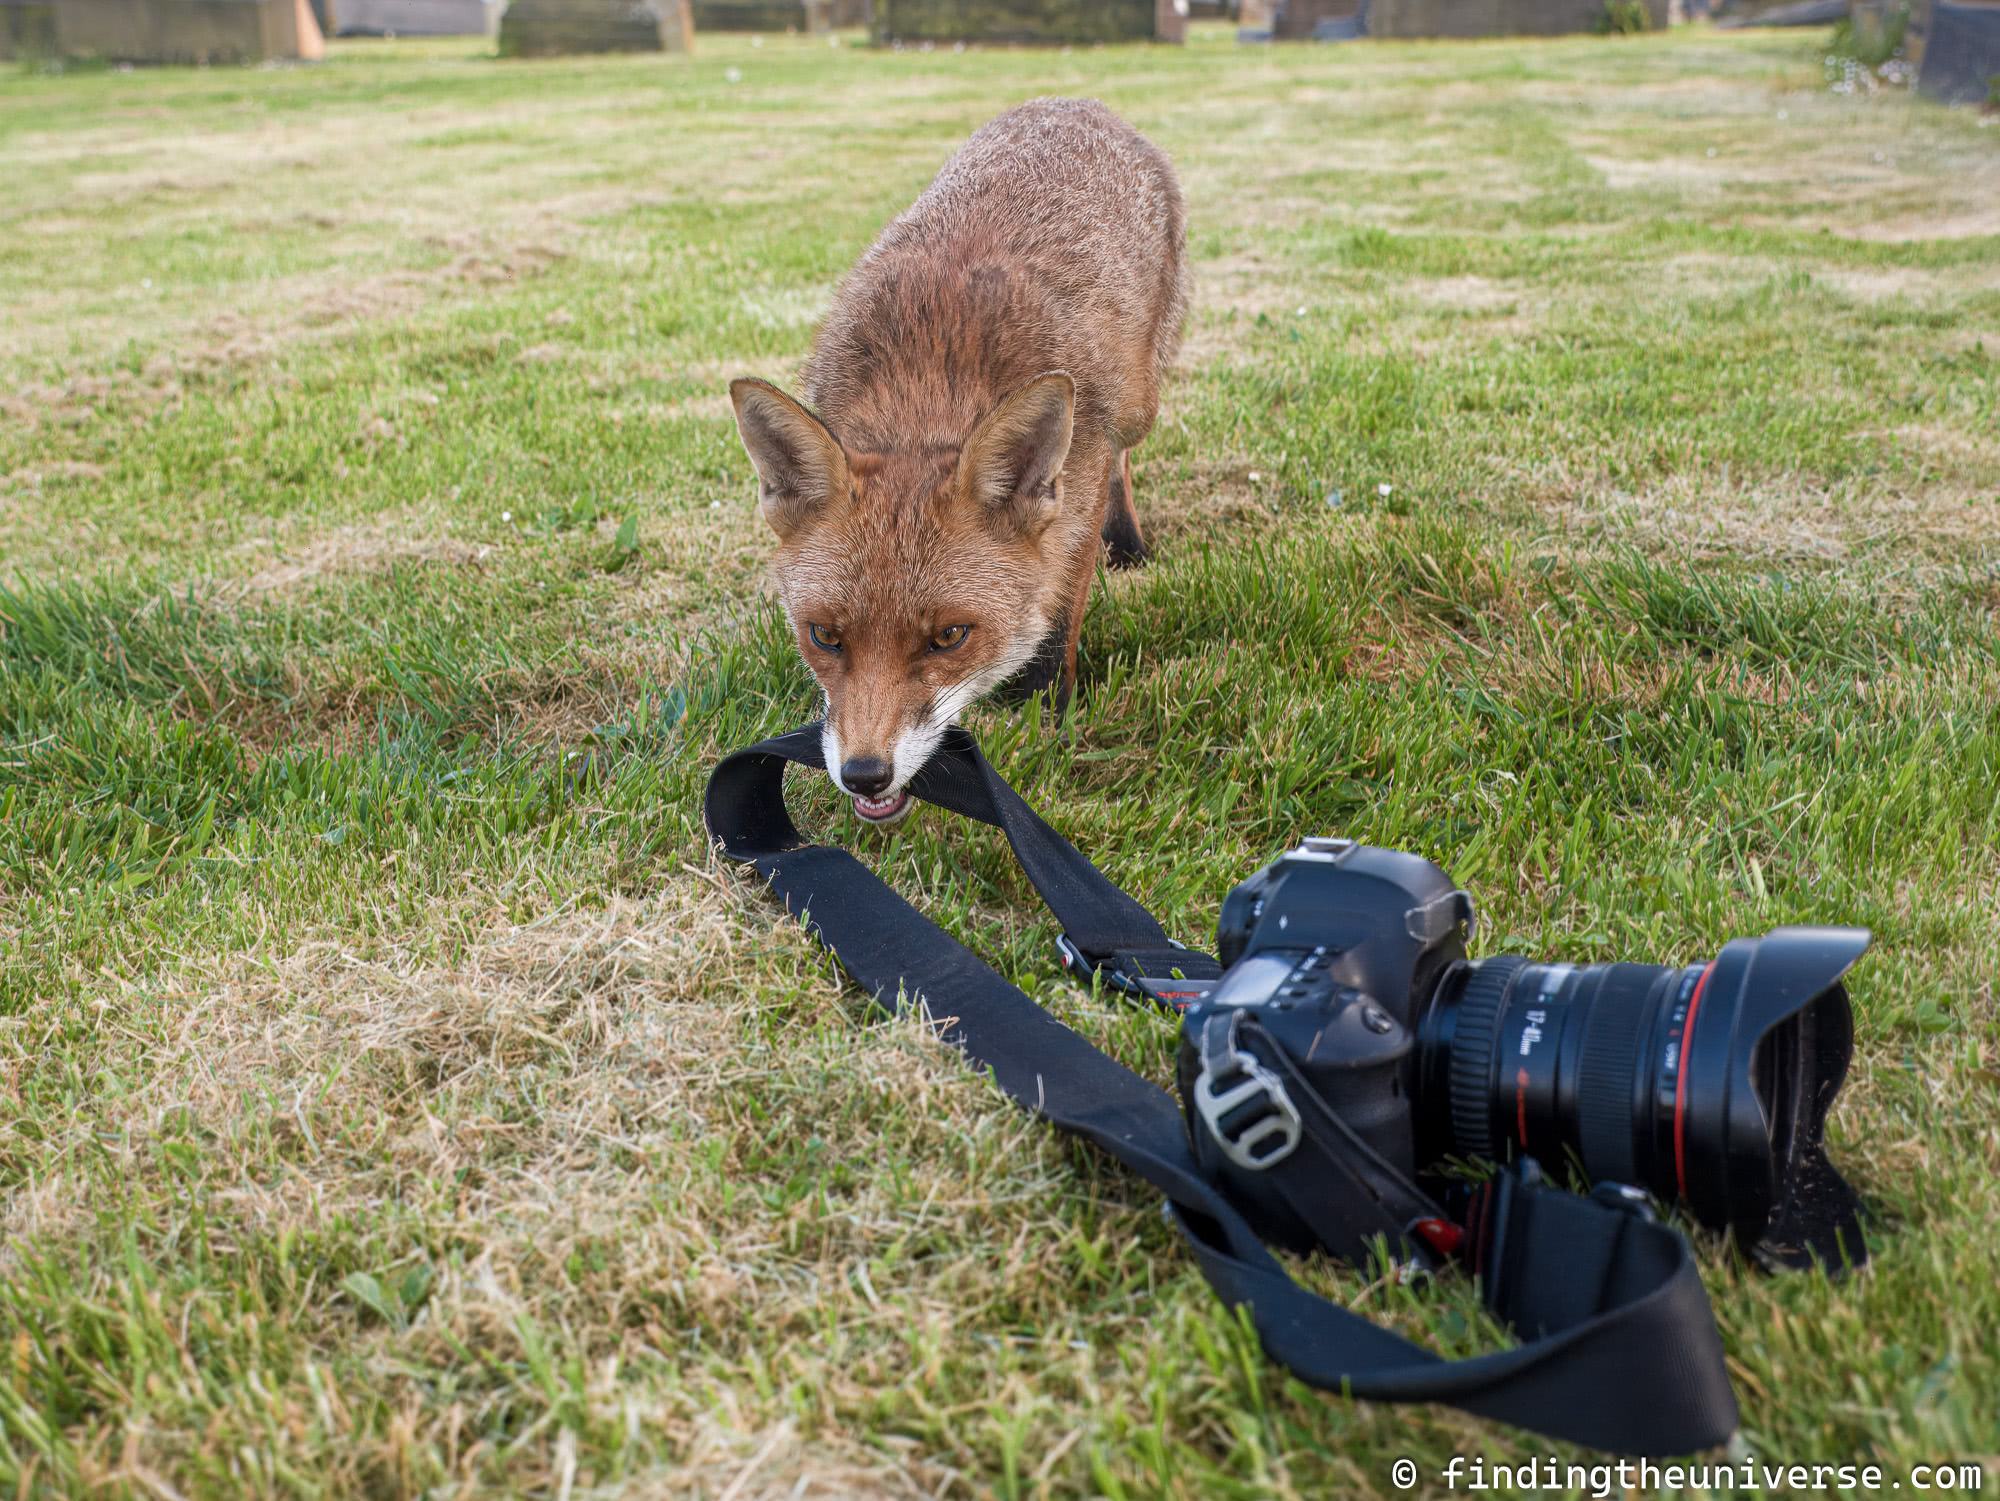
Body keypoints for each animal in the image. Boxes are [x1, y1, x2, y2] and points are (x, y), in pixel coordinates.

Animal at [729, 97, 1189, 825]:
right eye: (824, 636)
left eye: (949, 637)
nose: (864, 775)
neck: (926, 388)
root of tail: (1076, 102)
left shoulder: (1073, 505)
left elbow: (1056, 629)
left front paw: (1045, 721)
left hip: (1138, 404)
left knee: (1124, 457)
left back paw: (1131, 546)